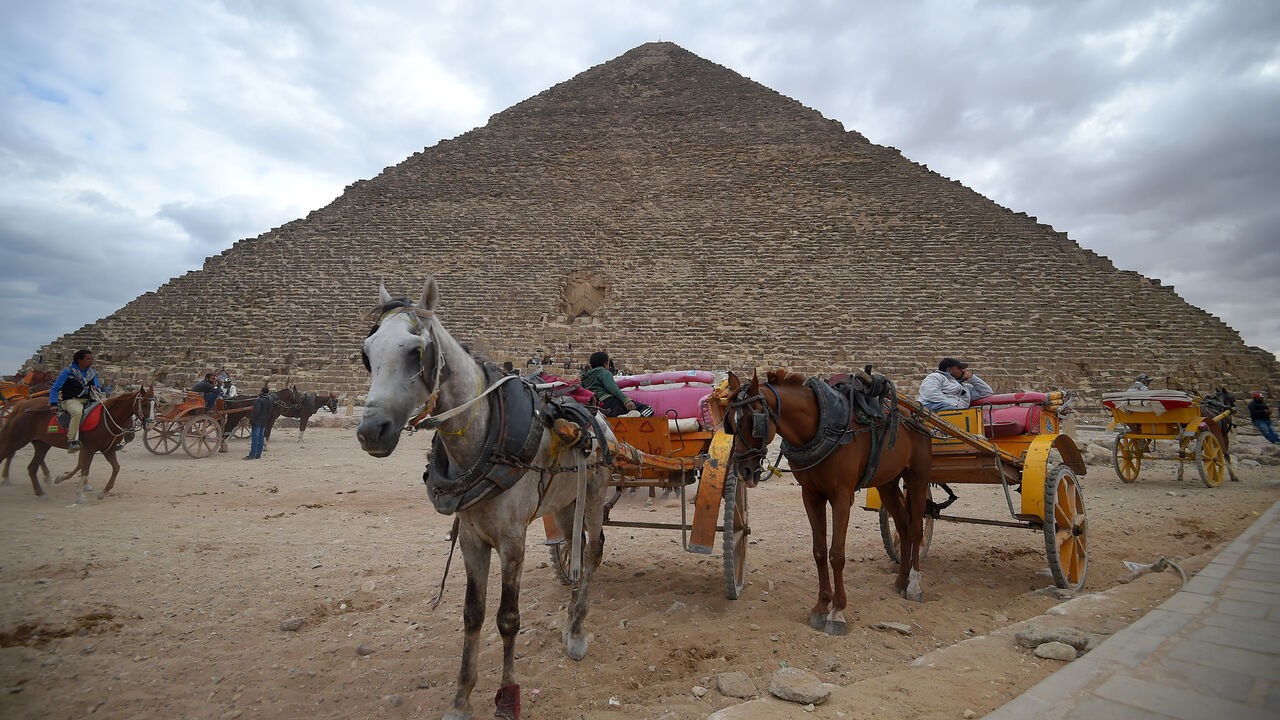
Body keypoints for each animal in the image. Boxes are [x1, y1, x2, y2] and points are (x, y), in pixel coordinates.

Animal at [0, 387, 154, 503]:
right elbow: (84, 468)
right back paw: (8, 478)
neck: (107, 418)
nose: (150, 424)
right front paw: (80, 493)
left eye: (155, 405)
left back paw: (41, 492)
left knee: (32, 467)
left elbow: (115, 468)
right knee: (8, 454)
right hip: (17, 439)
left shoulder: (107, 450)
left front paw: (102, 492)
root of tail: (22, 405)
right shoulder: (89, 448)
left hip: (41, 444)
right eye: (144, 404)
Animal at [357, 277, 612, 720]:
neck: (483, 439)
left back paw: (578, 630)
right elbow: (472, 614)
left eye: (415, 351)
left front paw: (508, 696)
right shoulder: (472, 538)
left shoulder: (512, 541)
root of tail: (597, 415)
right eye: (366, 355)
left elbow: (507, 618)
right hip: (565, 504)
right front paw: (461, 698)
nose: (372, 431)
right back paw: (568, 621)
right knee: (575, 547)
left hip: (595, 497)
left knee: (593, 551)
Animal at [724, 369, 934, 634]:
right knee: (904, 526)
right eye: (730, 423)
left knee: (916, 529)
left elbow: (836, 554)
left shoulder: (841, 497)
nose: (744, 471)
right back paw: (901, 580)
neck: (820, 426)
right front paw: (821, 607)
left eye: (755, 421)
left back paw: (914, 584)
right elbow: (820, 551)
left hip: (918, 478)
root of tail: (916, 415)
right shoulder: (811, 495)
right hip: (887, 482)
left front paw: (837, 612)